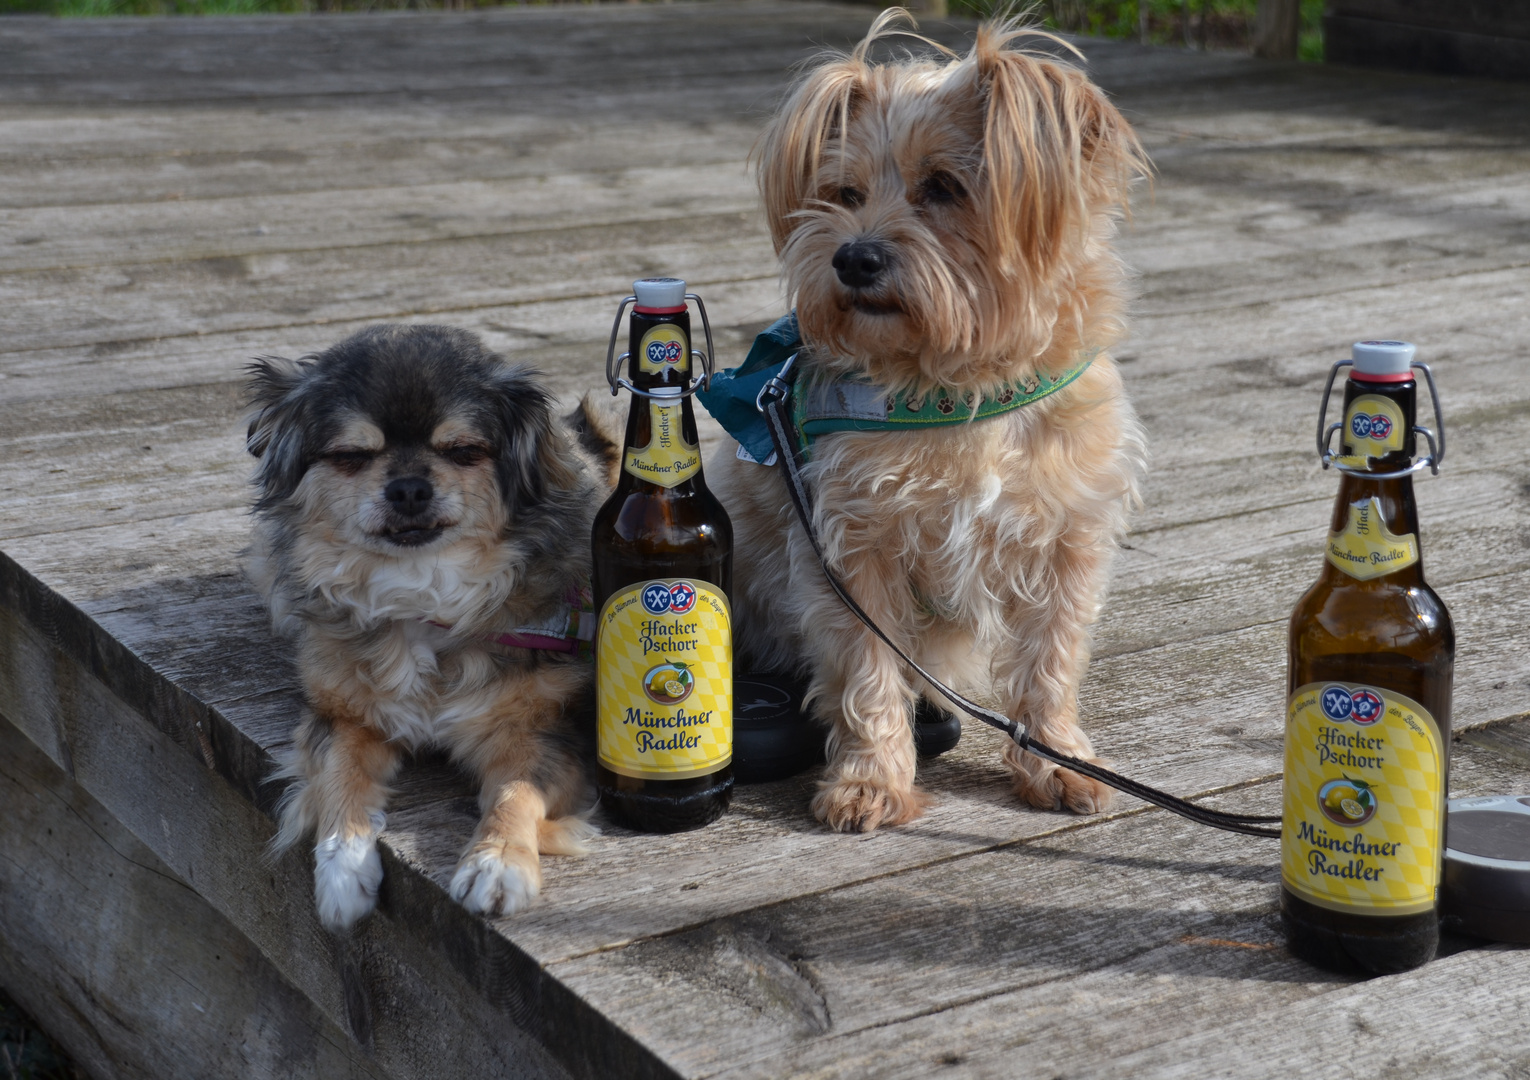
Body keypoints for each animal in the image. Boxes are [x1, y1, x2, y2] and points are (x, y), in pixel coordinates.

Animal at [244, 321, 615, 923]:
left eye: (463, 452)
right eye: (351, 456)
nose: (409, 487)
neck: (422, 593)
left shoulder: (540, 730)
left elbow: (516, 795)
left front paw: (497, 864)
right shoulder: (342, 717)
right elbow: (339, 780)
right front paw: (342, 871)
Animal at [709, 12, 1150, 826]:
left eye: (944, 186)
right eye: (844, 192)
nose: (853, 258)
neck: (956, 389)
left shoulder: (1068, 542)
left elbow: (1051, 660)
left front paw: (1056, 758)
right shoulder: (852, 552)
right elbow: (868, 675)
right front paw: (871, 780)